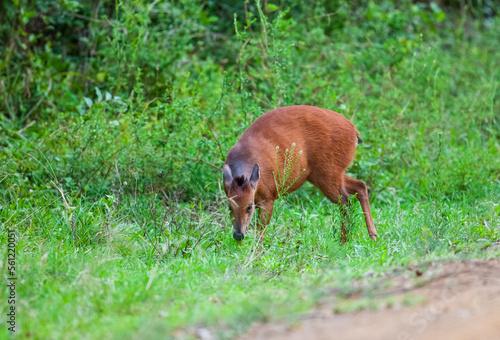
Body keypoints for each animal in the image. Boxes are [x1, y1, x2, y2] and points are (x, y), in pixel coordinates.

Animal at [224, 105, 378, 242]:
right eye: (229, 206)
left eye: (249, 206)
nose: (238, 235)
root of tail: (354, 131)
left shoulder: (268, 196)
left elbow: (261, 228)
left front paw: (257, 253)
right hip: (327, 172)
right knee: (360, 185)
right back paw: (372, 234)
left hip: (328, 172)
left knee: (346, 201)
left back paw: (343, 241)